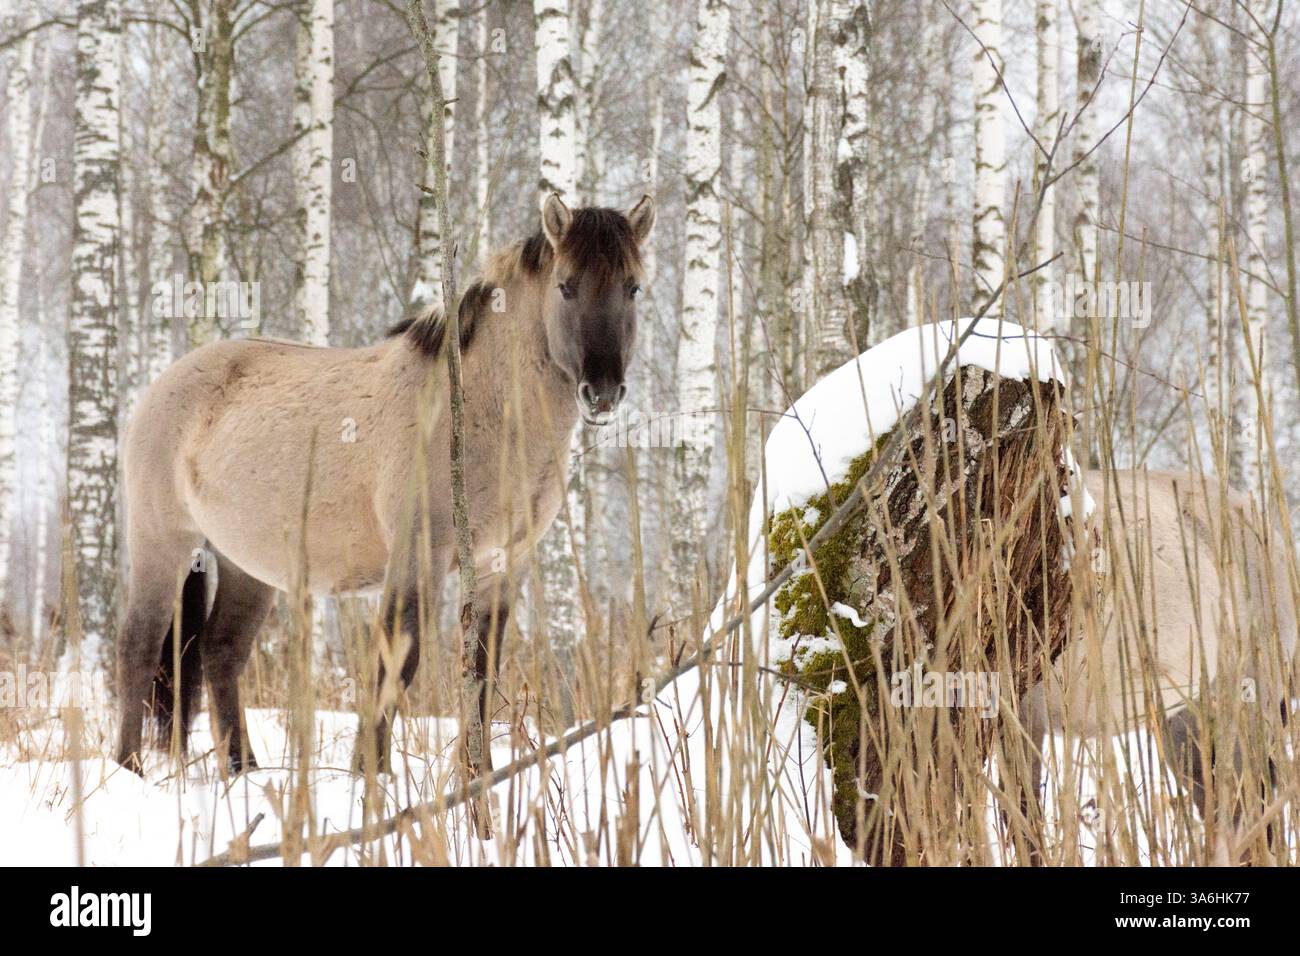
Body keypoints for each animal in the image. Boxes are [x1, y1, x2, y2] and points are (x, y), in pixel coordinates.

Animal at [114, 193, 656, 775]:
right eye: (566, 285)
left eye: (633, 287)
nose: (602, 391)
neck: (472, 410)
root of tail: (164, 386)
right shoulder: (417, 555)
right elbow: (398, 661)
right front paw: (370, 775)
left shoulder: (501, 565)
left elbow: (482, 669)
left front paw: (477, 775)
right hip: (163, 544)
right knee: (139, 647)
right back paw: (129, 767)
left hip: (247, 565)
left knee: (221, 650)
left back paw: (243, 772)